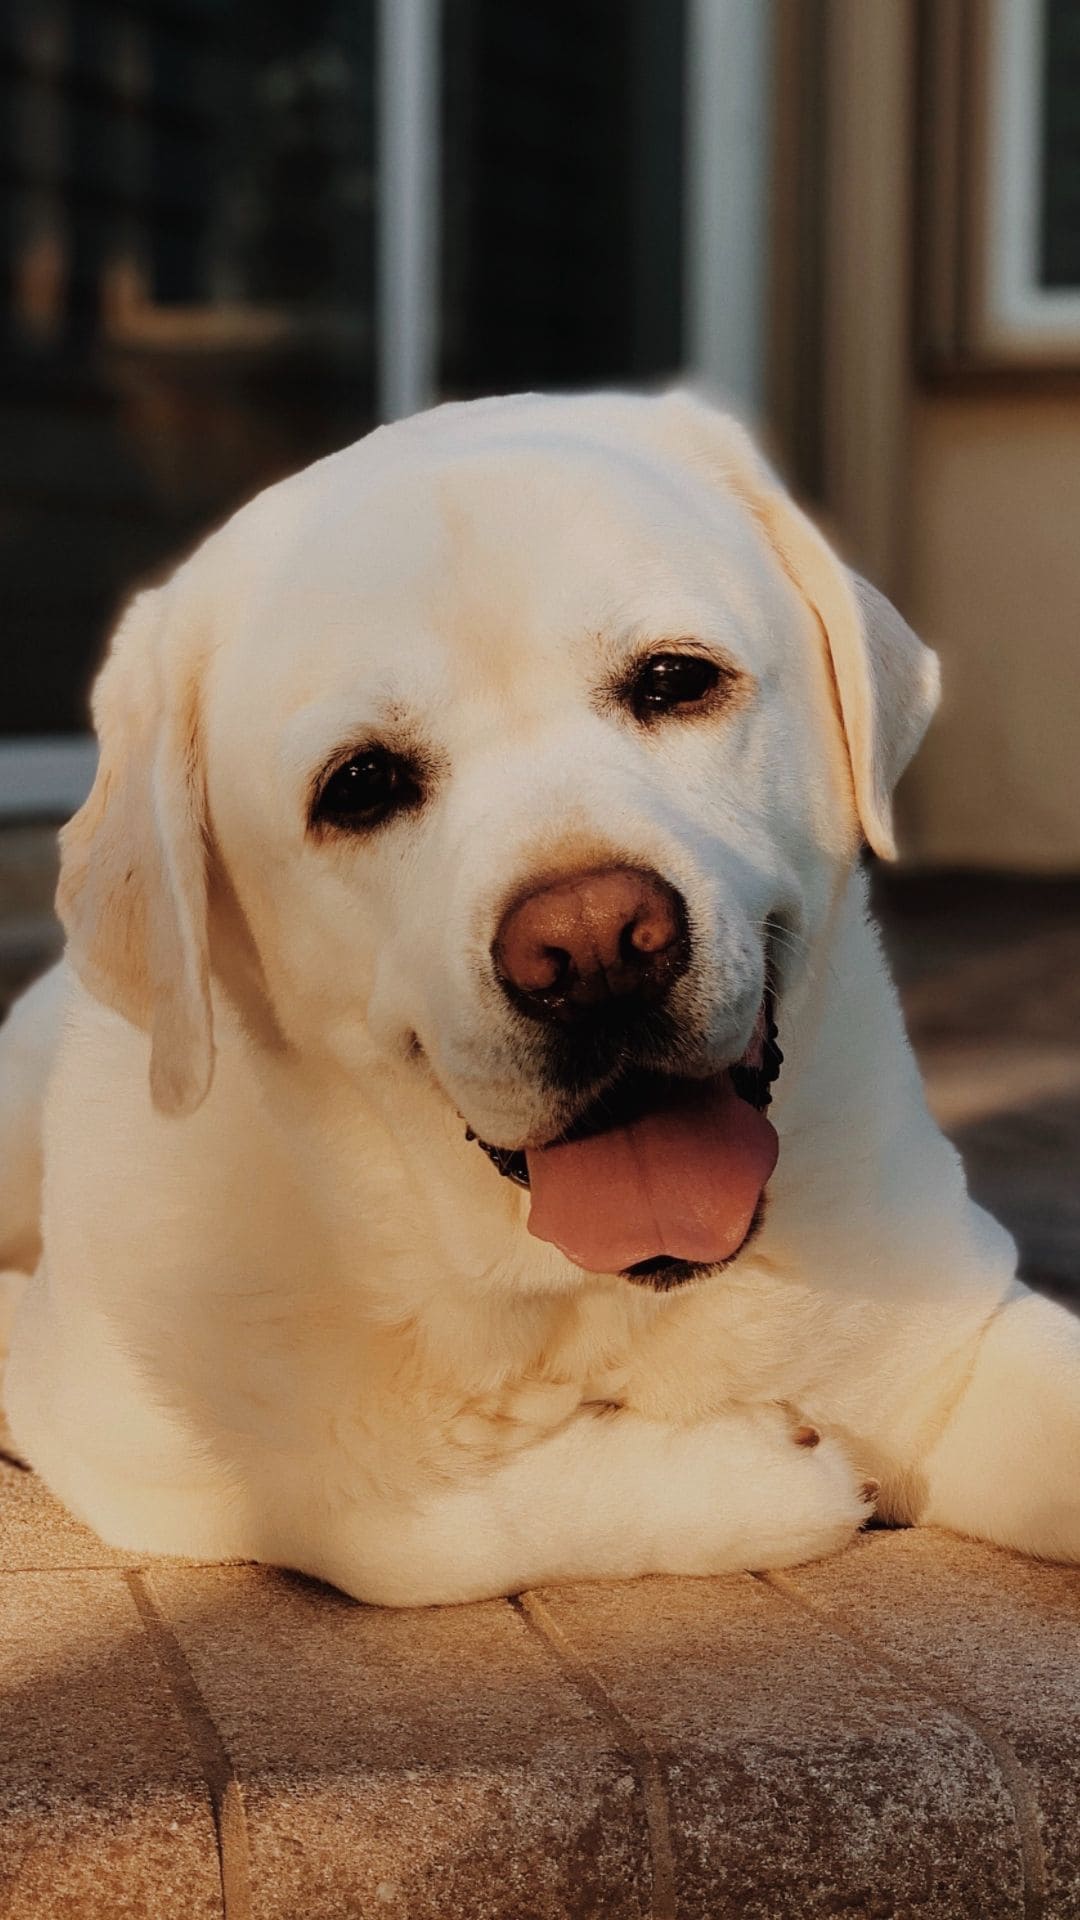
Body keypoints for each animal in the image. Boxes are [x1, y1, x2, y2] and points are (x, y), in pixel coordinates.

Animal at [0, 393, 1068, 1605]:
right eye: (359, 785)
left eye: (674, 680)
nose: (597, 948)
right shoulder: (141, 1443)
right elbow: (389, 1522)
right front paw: (759, 1475)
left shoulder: (954, 1330)